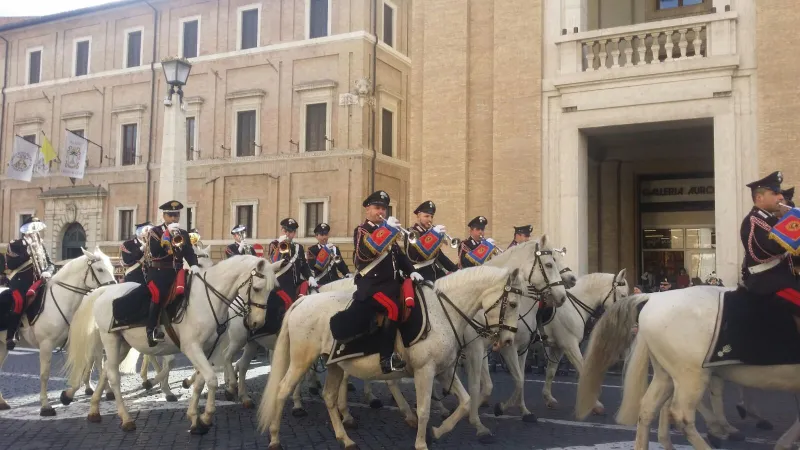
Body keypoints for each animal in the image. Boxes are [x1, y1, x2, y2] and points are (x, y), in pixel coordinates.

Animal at [0, 250, 117, 414]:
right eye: (100, 269)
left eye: (112, 269)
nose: (113, 291)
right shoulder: (46, 345)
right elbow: (44, 374)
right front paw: (45, 406)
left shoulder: (73, 343)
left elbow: (80, 369)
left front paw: (67, 396)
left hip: (3, 346)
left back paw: (2, 402)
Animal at [64, 255, 280, 434]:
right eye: (257, 288)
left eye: (271, 290)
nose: (257, 323)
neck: (207, 299)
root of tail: (105, 290)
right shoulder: (191, 348)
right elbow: (211, 379)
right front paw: (206, 416)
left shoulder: (208, 349)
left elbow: (201, 381)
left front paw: (196, 419)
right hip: (110, 340)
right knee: (114, 376)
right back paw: (126, 419)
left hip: (122, 344)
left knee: (107, 371)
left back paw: (93, 410)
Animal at [258, 237, 568, 448]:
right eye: (549, 264)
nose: (507, 338)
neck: (447, 310)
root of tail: (303, 300)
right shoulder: (430, 368)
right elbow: (427, 407)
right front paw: (426, 439)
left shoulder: (445, 368)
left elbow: (468, 399)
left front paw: (441, 429)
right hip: (302, 359)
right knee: (284, 389)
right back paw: (276, 435)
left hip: (335, 362)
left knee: (330, 396)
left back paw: (345, 437)